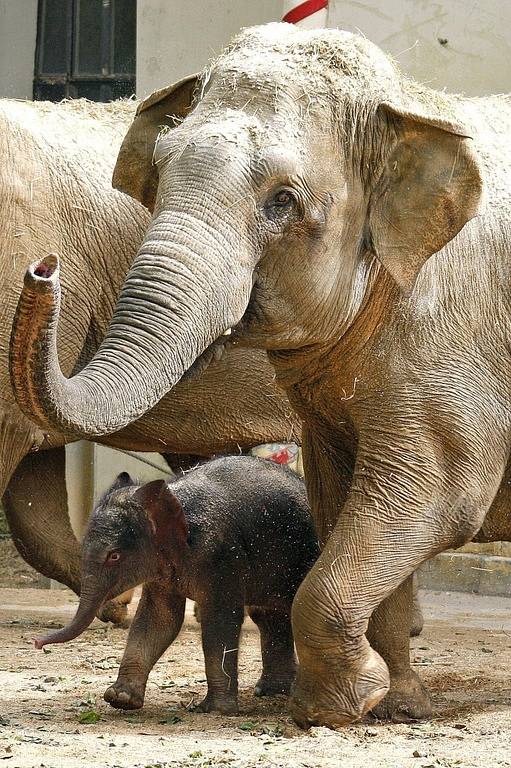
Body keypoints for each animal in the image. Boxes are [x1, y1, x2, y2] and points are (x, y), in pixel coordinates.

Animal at [35, 456, 320, 712]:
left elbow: (220, 620)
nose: (37, 643)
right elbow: (158, 620)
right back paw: (272, 691)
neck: (174, 497)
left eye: (114, 556)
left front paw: (215, 710)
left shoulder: (222, 558)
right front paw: (120, 699)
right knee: (268, 615)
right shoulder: (161, 574)